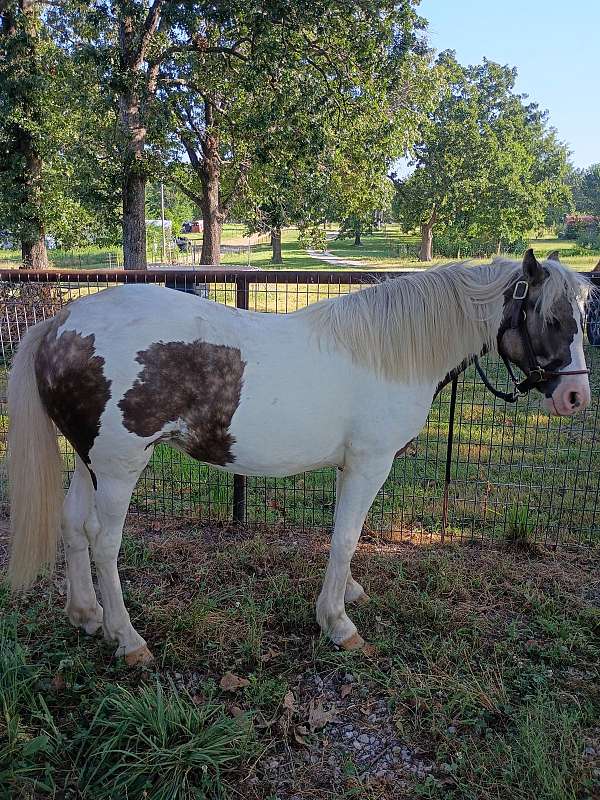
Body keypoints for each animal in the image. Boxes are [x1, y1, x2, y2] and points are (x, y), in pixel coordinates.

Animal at [6, 250, 591, 664]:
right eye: (552, 318)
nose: (575, 397)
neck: (390, 352)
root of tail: (62, 323)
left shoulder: (351, 467)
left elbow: (345, 537)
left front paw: (347, 593)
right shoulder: (370, 463)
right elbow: (347, 537)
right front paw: (337, 623)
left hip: (90, 464)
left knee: (73, 526)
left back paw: (86, 615)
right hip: (119, 467)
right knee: (103, 542)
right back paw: (127, 638)